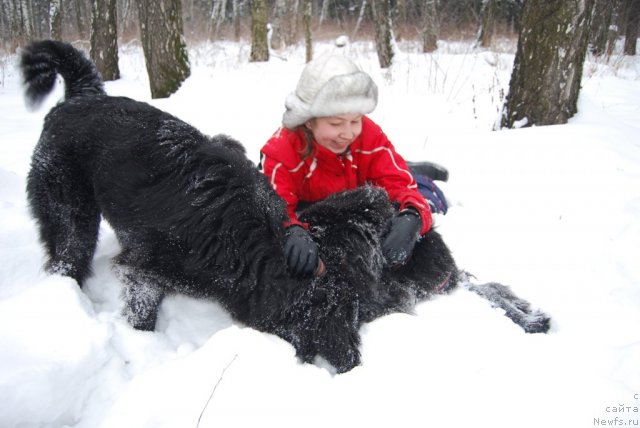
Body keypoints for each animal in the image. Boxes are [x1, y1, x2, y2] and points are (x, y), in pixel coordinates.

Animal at [20, 41, 552, 374]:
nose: (442, 265)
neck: (255, 243)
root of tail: (81, 96)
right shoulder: (143, 269)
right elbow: (142, 308)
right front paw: (144, 343)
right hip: (69, 212)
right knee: (68, 254)